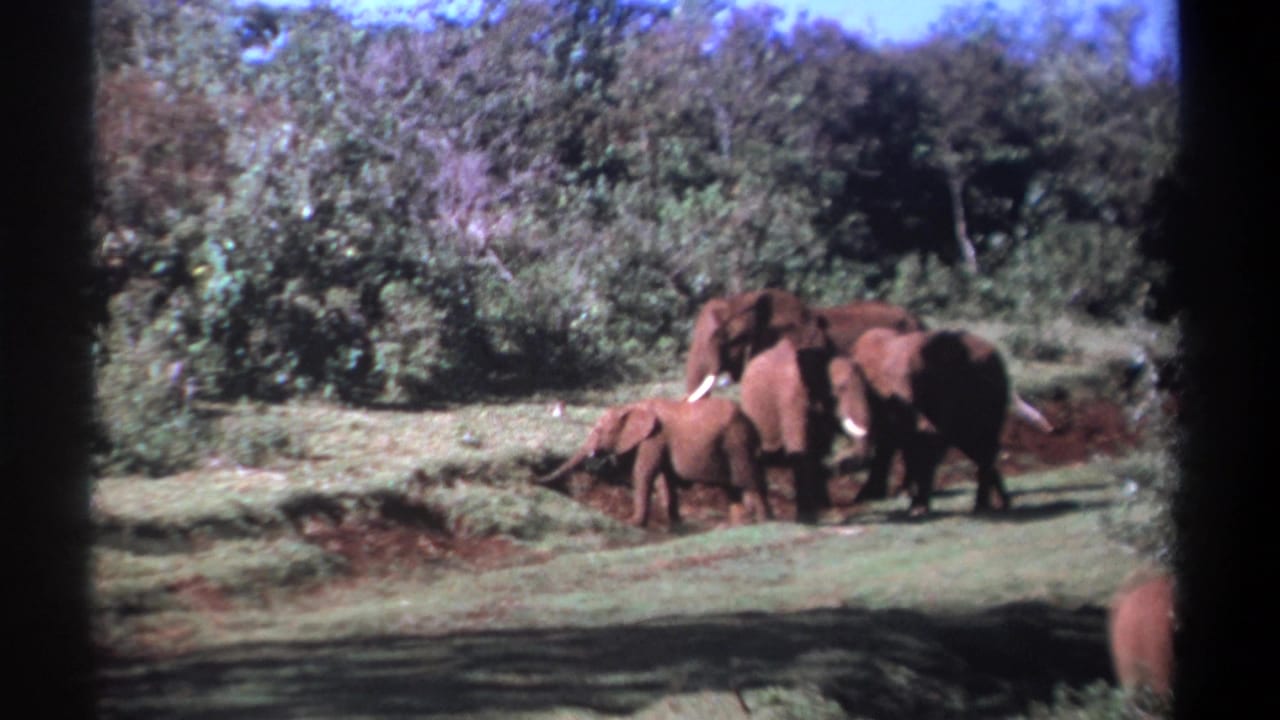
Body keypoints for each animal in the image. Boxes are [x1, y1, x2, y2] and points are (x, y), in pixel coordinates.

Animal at [536, 397, 771, 529]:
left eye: (599, 431)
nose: (534, 479)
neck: (632, 407)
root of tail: (752, 423)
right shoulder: (658, 441)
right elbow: (665, 478)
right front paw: (675, 525)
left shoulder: (653, 438)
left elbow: (644, 473)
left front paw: (632, 523)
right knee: (746, 484)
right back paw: (748, 521)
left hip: (736, 443)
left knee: (748, 481)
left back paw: (761, 521)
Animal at [829, 328, 1021, 516]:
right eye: (840, 389)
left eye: (917, 379)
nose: (839, 463)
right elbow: (893, 443)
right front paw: (868, 497)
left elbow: (924, 443)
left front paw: (916, 508)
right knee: (976, 447)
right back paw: (1001, 503)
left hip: (994, 396)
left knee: (984, 445)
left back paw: (983, 506)